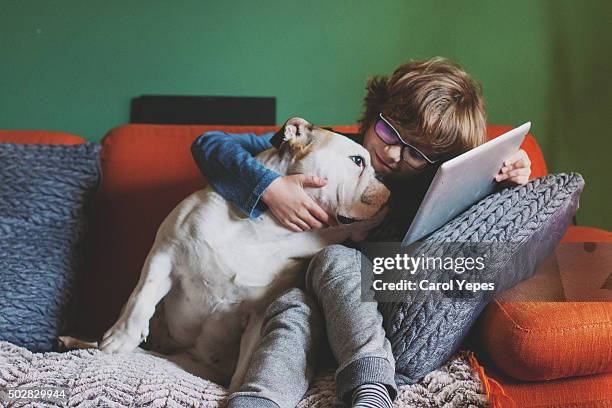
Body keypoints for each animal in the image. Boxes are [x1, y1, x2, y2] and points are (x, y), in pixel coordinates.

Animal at [98, 117, 390, 388]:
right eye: (357, 161)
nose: (388, 180)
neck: (270, 228)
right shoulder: (165, 252)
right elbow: (140, 299)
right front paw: (119, 339)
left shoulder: (259, 315)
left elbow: (246, 365)